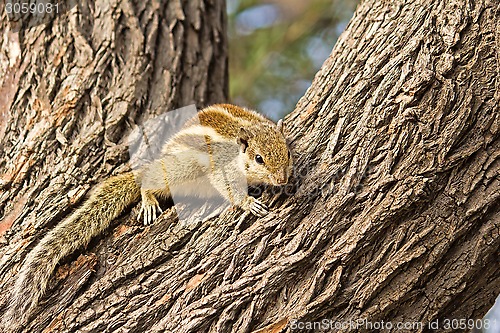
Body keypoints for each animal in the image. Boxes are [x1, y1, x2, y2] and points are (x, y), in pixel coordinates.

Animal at [1, 104, 292, 330]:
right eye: (259, 158)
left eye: (287, 152)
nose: (282, 179)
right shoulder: (223, 168)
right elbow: (229, 188)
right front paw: (249, 203)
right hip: (181, 169)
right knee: (151, 180)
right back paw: (149, 197)